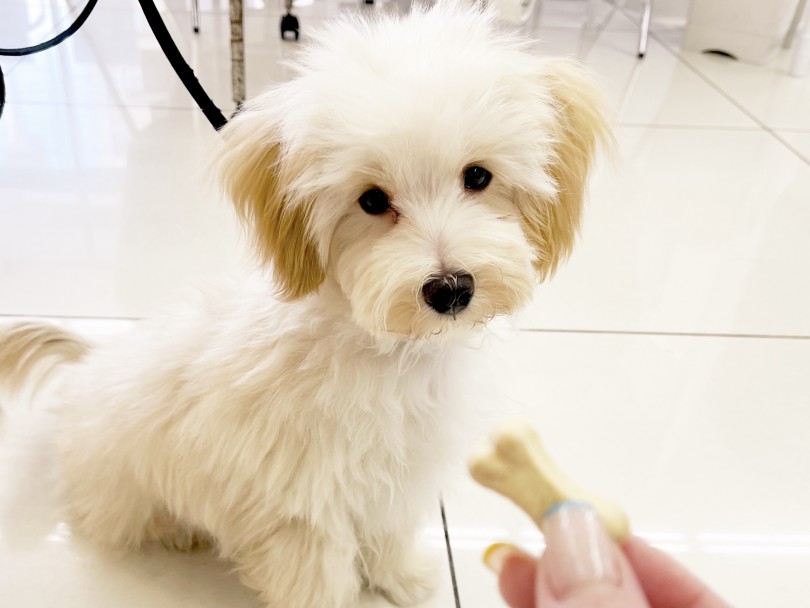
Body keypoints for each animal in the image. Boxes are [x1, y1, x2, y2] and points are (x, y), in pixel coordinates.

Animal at [1, 2, 608, 604]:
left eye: (478, 175)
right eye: (371, 201)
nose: (451, 288)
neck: (384, 350)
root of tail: (90, 362)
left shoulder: (398, 475)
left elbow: (389, 531)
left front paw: (402, 577)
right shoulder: (302, 500)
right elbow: (319, 573)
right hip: (118, 481)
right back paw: (176, 529)